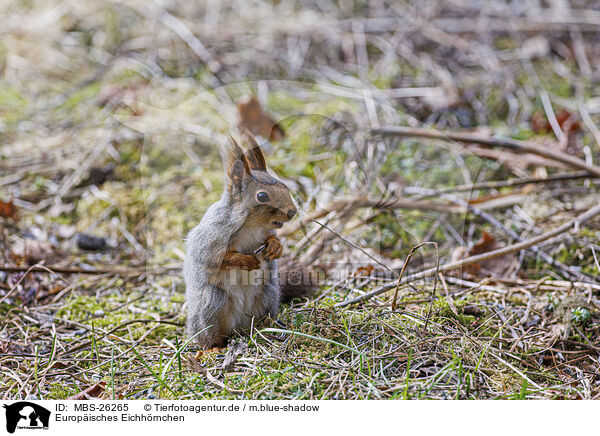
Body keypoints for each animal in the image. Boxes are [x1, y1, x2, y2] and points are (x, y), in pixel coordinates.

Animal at [185, 132, 312, 348]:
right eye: (262, 196)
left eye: (284, 185)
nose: (292, 212)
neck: (251, 226)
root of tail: (240, 328)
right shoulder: (210, 238)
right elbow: (214, 259)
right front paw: (246, 260)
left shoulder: (265, 231)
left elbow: (273, 238)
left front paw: (275, 247)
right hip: (212, 305)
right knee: (212, 335)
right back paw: (212, 348)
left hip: (267, 293)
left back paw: (268, 326)